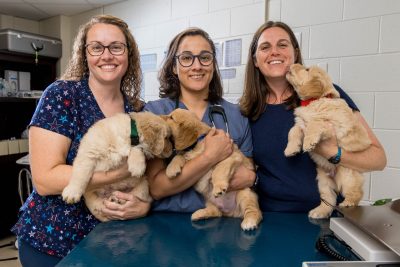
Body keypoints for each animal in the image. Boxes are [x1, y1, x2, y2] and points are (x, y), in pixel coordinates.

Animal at [284, 63, 372, 219]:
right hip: (323, 182)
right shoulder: (300, 124)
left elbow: (314, 124)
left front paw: (308, 143)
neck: (314, 101)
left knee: (356, 193)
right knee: (328, 200)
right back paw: (319, 211)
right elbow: (292, 132)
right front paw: (291, 149)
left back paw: (348, 203)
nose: (292, 64)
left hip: (348, 176)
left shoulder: (331, 126)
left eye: (306, 70)